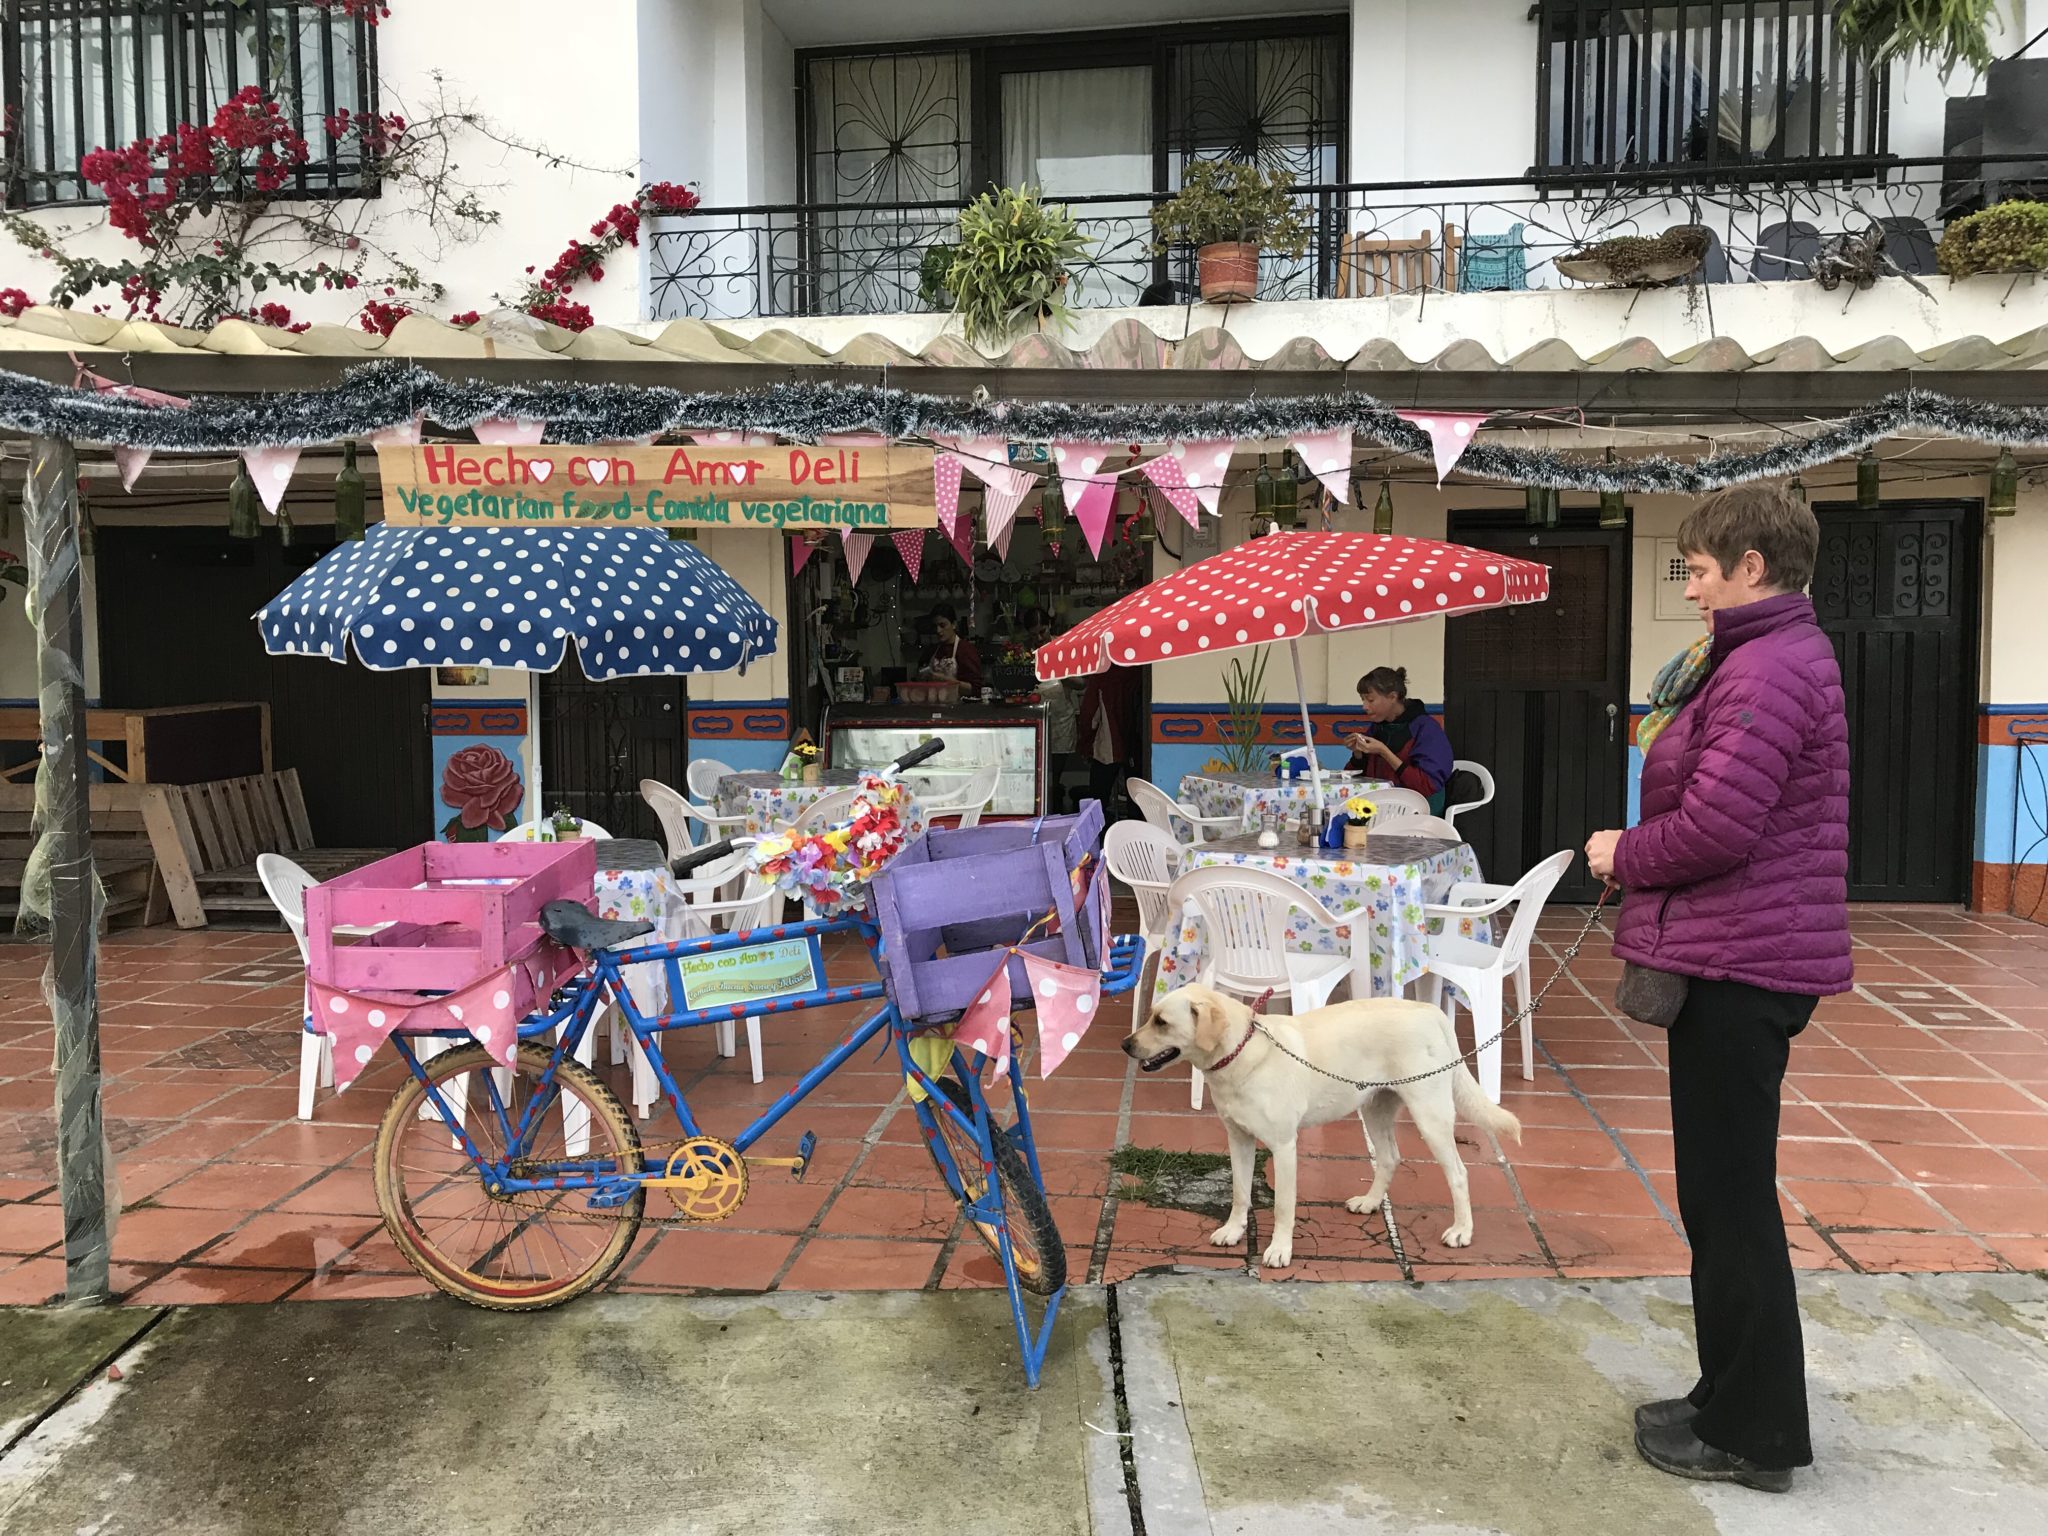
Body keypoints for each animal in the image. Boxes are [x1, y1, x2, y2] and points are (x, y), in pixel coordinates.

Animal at [1122, 991, 1523, 1269]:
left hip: (1431, 1115)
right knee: (1389, 1158)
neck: (1241, 1054)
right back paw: (1370, 1202)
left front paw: (1280, 1250)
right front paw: (1233, 1231)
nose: (1125, 1044)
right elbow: (1239, 1193)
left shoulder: (1284, 1147)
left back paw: (1462, 1231)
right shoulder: (1239, 1140)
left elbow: (1283, 1207)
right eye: (1151, 1016)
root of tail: (1430, 1010)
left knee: (1458, 1173)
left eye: (1161, 1022)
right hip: (1374, 1108)